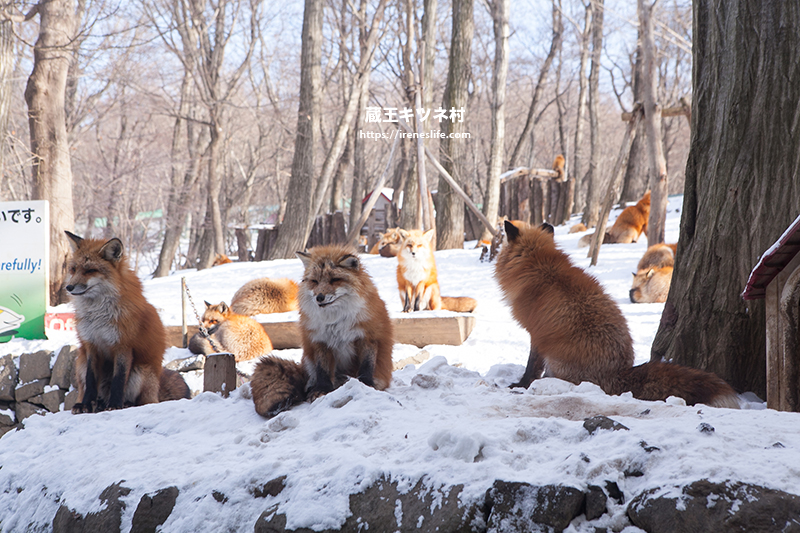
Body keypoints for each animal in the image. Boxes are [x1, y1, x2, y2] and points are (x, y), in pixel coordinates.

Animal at [64, 230, 191, 412]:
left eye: (90, 270)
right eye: (73, 269)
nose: (69, 287)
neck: (98, 317)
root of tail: (156, 390)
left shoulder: (123, 345)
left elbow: (119, 380)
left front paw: (115, 405)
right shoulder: (91, 345)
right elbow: (90, 381)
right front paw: (86, 405)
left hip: (140, 370)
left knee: (141, 401)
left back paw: (124, 404)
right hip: (80, 363)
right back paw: (97, 404)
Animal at [496, 220, 740, 408]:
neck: (539, 267)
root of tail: (620, 372)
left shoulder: (536, 334)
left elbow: (531, 366)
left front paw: (520, 385)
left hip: (557, 361)